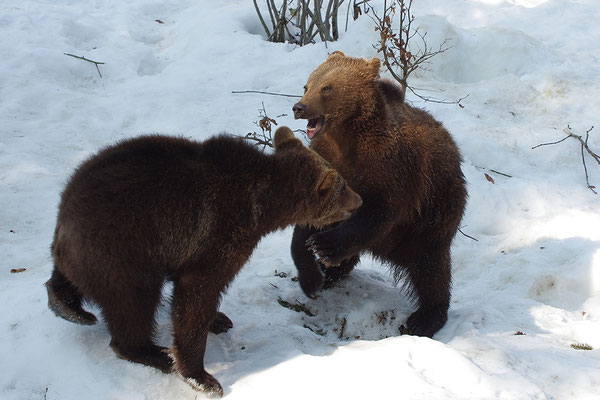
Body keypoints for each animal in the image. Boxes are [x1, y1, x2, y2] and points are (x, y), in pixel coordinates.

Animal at [45, 126, 360, 396]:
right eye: (343, 186)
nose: (359, 200)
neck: (265, 205)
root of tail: (64, 216)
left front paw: (219, 319)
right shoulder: (219, 233)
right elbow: (197, 295)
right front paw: (201, 376)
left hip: (90, 253)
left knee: (71, 280)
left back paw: (67, 306)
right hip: (124, 248)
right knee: (134, 302)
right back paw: (153, 352)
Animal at [290, 50, 468, 338]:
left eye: (327, 87)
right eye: (307, 85)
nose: (299, 107)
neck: (347, 137)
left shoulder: (391, 168)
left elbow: (379, 211)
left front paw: (324, 245)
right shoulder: (328, 159)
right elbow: (313, 214)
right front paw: (311, 273)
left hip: (432, 213)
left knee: (431, 267)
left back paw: (425, 318)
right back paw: (332, 272)